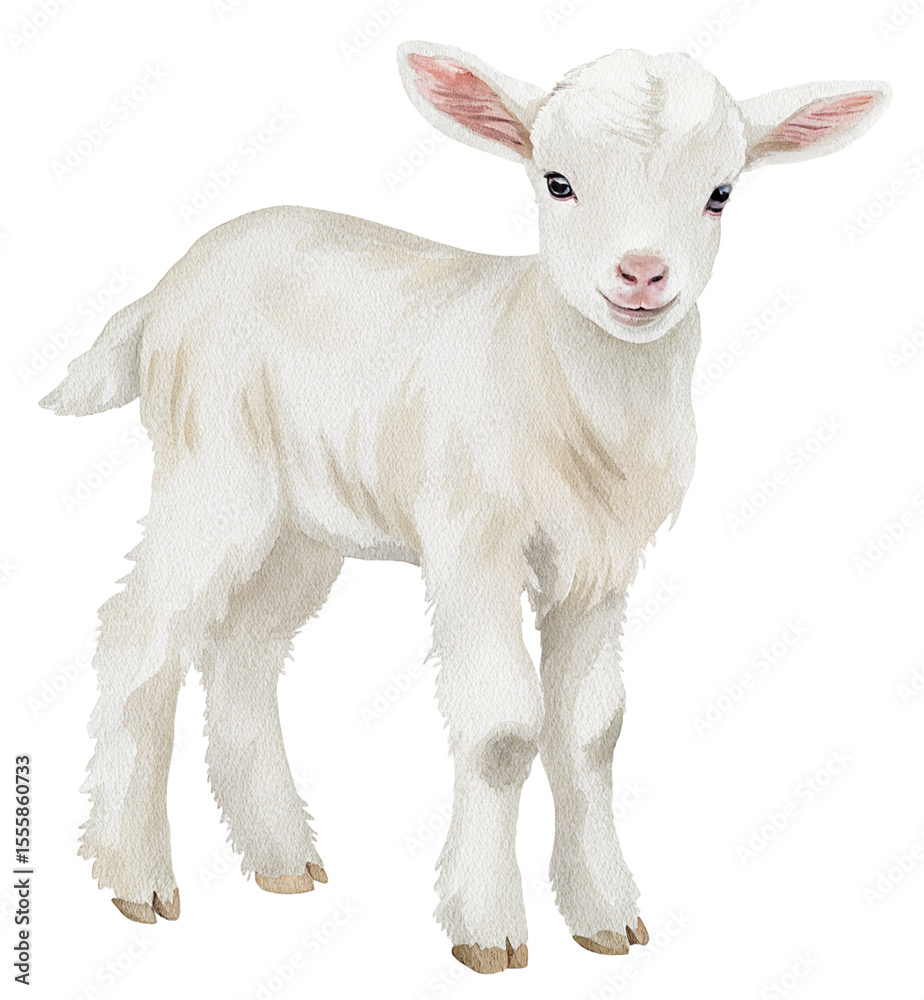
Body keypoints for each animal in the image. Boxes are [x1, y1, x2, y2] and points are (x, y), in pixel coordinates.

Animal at [41, 41, 889, 973]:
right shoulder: (471, 538)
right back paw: (136, 878)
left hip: (305, 520)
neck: (556, 367)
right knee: (142, 635)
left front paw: (605, 916)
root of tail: (166, 288)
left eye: (721, 192)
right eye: (556, 182)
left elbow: (592, 730)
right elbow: (503, 729)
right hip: (215, 467)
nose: (641, 274)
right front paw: (487, 929)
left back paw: (281, 860)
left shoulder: (601, 562)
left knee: (244, 653)